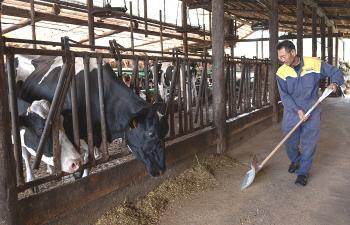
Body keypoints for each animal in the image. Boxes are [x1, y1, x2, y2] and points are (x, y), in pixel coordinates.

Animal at [13, 55, 167, 178]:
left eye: (164, 131)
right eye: (151, 134)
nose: (162, 170)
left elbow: (88, 159)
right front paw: (77, 175)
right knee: (26, 154)